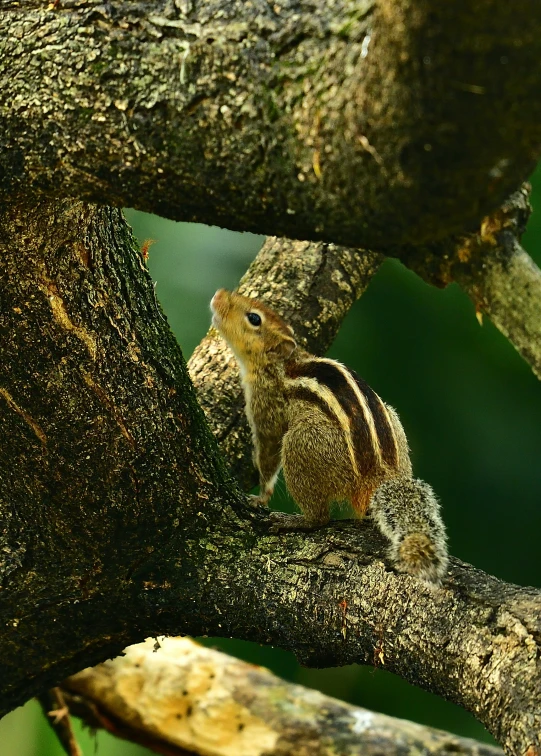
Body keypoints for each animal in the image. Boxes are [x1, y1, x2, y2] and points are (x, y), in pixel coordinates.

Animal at [210, 288, 448, 584]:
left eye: (254, 318)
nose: (219, 295)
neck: (284, 363)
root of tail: (379, 474)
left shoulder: (266, 407)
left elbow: (267, 450)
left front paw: (260, 497)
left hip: (302, 442)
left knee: (320, 518)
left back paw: (296, 521)